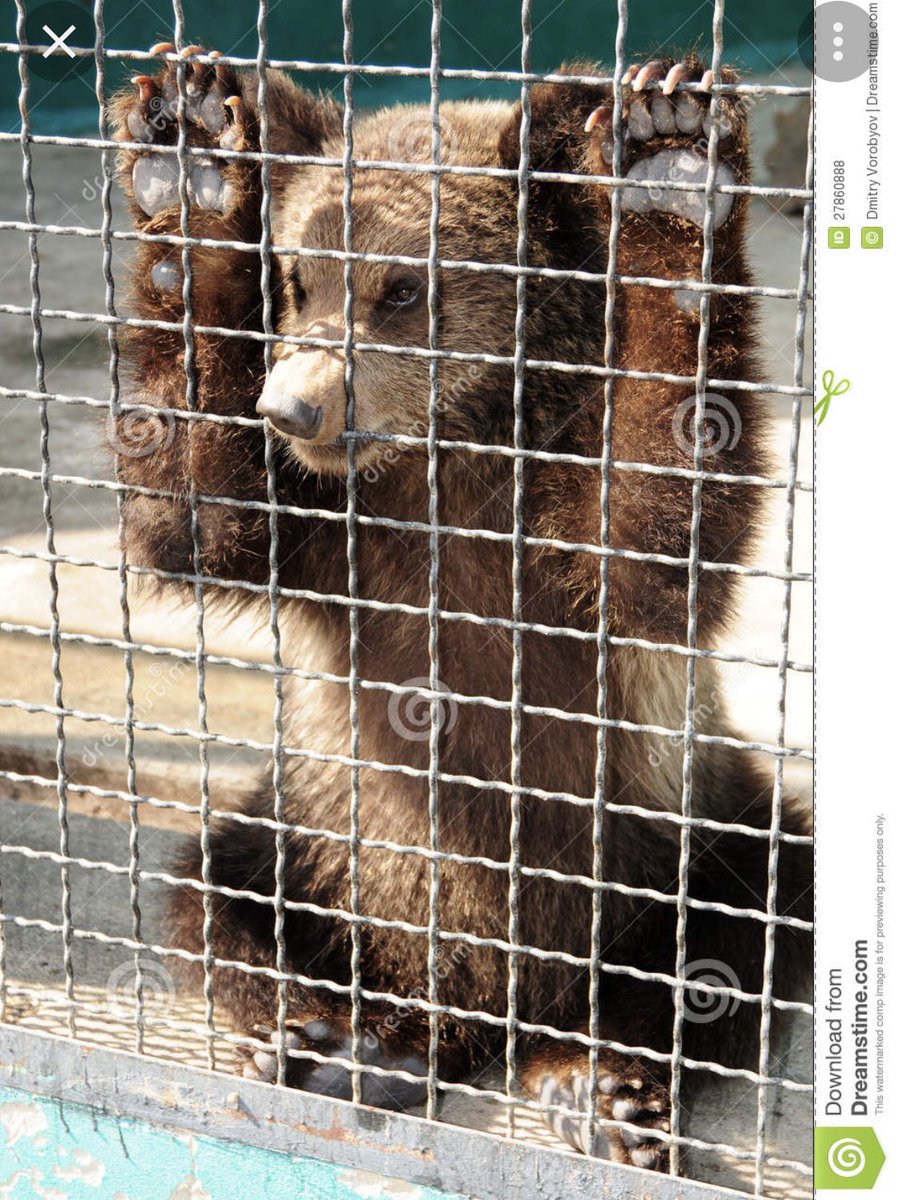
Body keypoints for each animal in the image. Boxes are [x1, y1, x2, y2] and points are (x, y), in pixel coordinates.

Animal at [110, 45, 812, 1174]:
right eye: (300, 277)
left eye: (402, 287)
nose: (294, 407)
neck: (448, 451)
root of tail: (494, 1000)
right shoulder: (329, 536)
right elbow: (195, 513)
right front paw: (195, 158)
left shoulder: (556, 549)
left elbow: (658, 527)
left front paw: (671, 163)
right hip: (327, 826)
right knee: (217, 885)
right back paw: (349, 1040)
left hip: (678, 830)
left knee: (750, 915)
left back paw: (594, 1081)